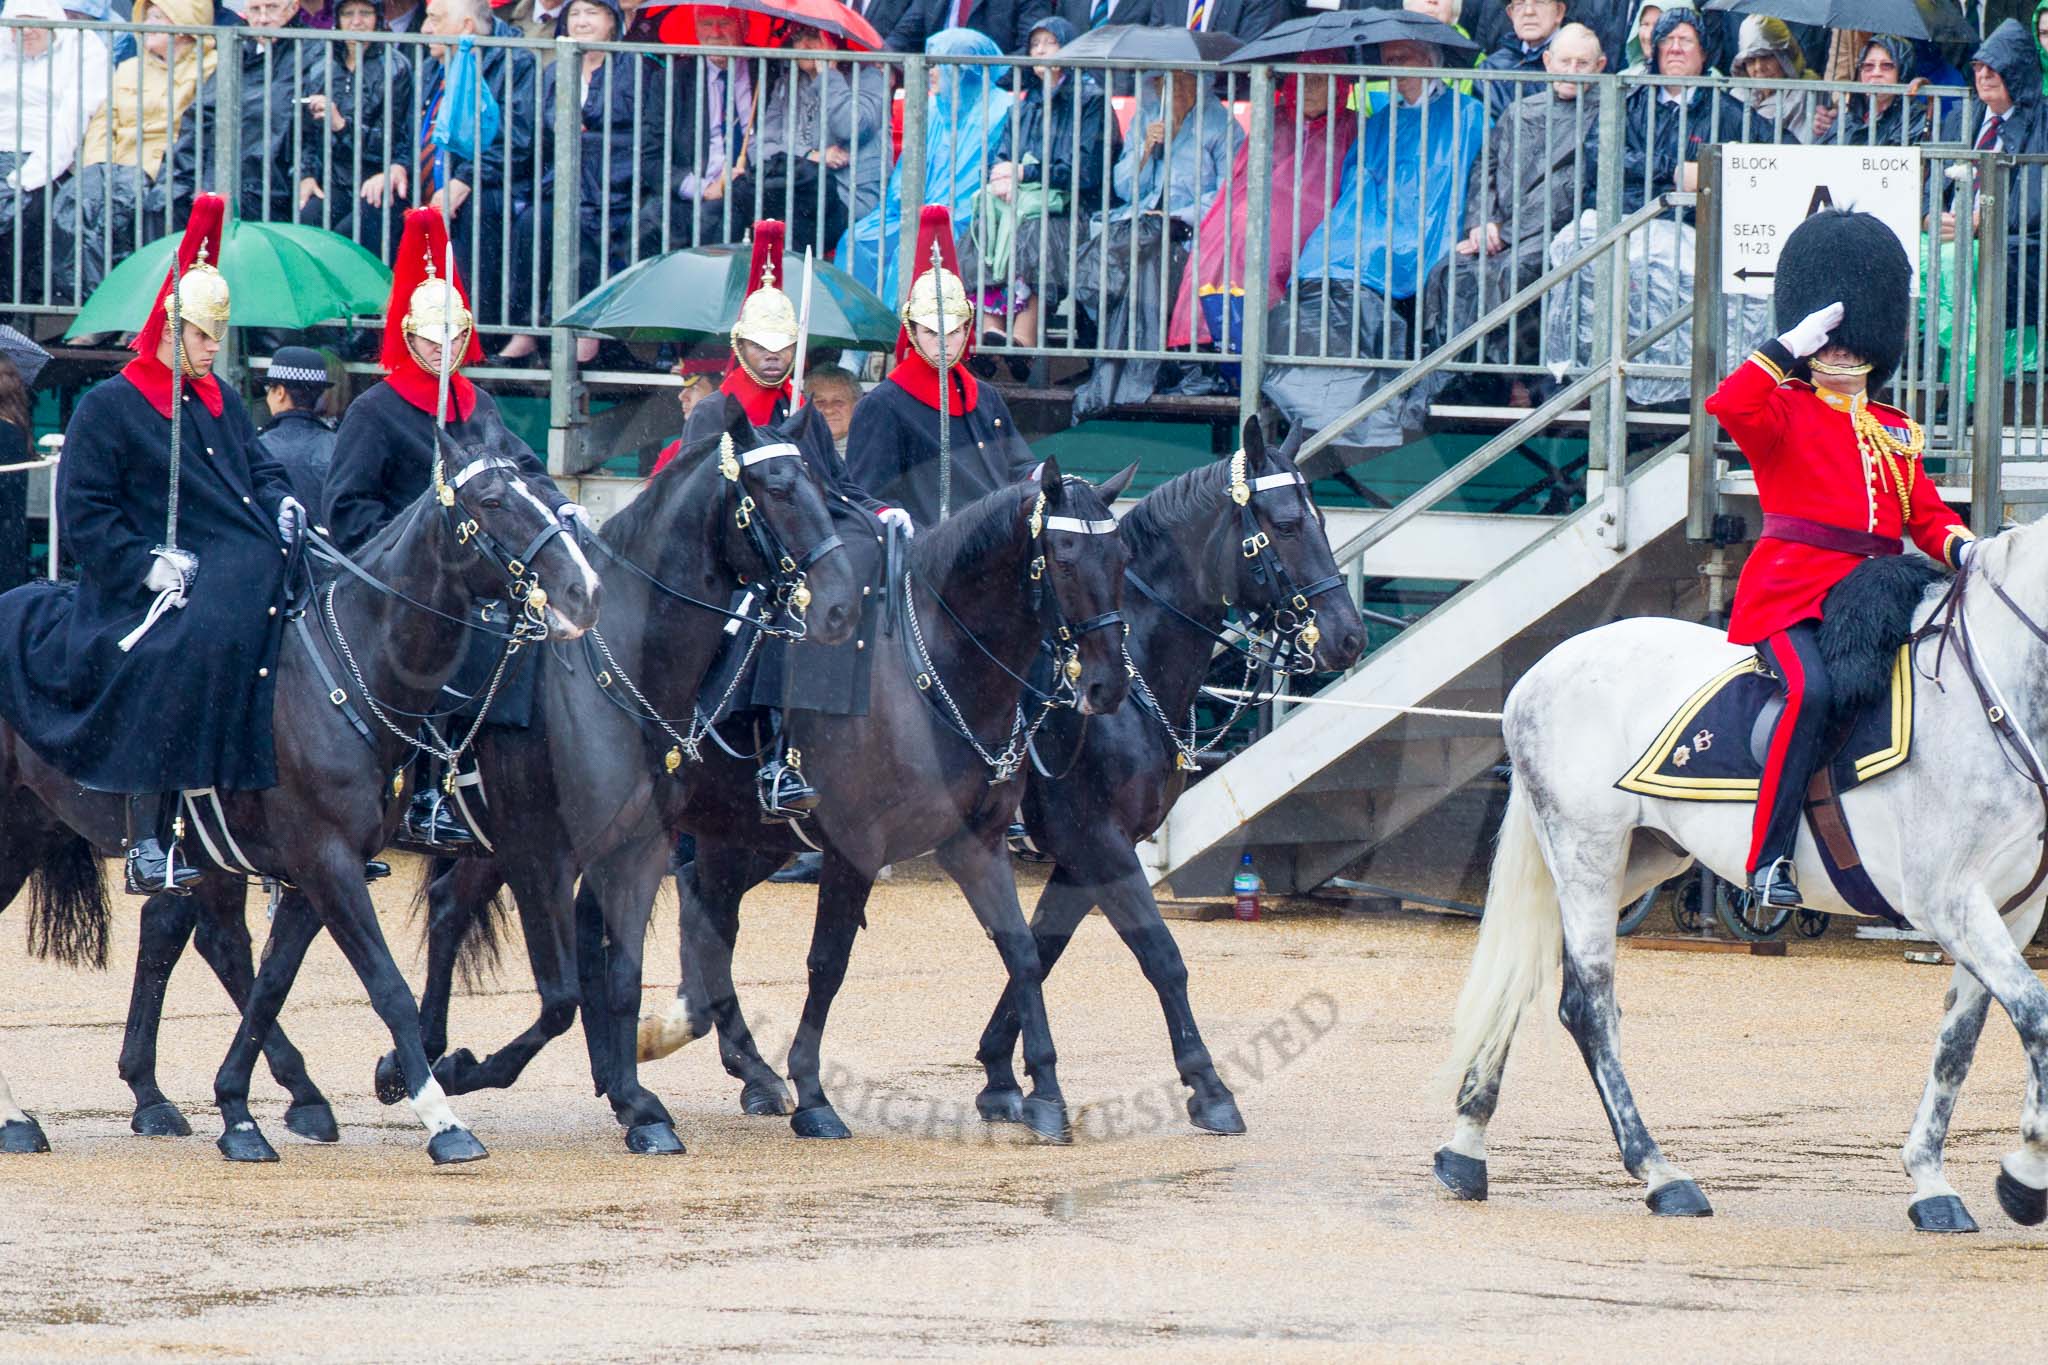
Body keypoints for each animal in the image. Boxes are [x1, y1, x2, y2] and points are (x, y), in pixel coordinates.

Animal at [0, 427, 598, 1162]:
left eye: (546, 489)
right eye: (492, 501)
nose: (583, 591)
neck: (351, 670)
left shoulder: (317, 870)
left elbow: (271, 984)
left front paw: (241, 1110)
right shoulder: (327, 860)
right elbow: (387, 987)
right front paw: (441, 1117)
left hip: (52, 832)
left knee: (206, 939)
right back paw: (26, 1113)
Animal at [358, 403, 864, 1154]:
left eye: (821, 489)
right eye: (775, 490)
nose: (837, 607)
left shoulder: (636, 850)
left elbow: (619, 977)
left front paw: (637, 1103)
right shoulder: (543, 855)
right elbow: (563, 994)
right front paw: (470, 1069)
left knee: (449, 910)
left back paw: (412, 1055)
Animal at [630, 458, 1138, 1146]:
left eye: (1121, 556)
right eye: (1062, 556)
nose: (1107, 684)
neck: (934, 671)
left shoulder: (976, 843)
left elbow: (1023, 953)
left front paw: (1045, 1096)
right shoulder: (856, 849)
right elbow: (828, 963)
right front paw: (815, 1096)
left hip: (740, 835)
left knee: (707, 918)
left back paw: (748, 1069)